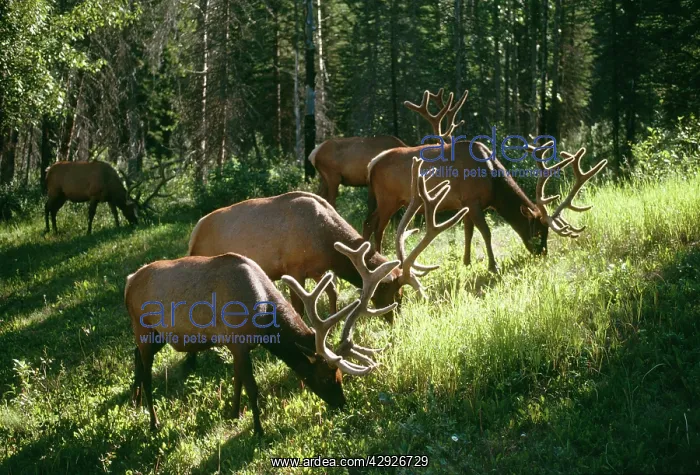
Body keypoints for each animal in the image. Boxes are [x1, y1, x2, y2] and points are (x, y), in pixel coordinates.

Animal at [125, 240, 401, 435]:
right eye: (325, 377)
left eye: (341, 375)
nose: (342, 403)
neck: (264, 319)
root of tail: (128, 282)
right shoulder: (238, 341)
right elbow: (252, 387)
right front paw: (258, 429)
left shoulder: (236, 346)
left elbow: (236, 381)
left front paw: (234, 412)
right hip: (144, 328)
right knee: (147, 375)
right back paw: (153, 421)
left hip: (154, 335)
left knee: (135, 356)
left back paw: (134, 401)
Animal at [363, 88, 608, 273]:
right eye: (538, 231)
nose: (542, 253)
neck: (492, 183)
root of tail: (372, 164)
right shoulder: (473, 200)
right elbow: (486, 232)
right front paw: (493, 265)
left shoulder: (464, 204)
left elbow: (468, 232)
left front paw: (466, 262)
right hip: (388, 198)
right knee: (378, 227)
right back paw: (379, 259)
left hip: (385, 199)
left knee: (368, 222)